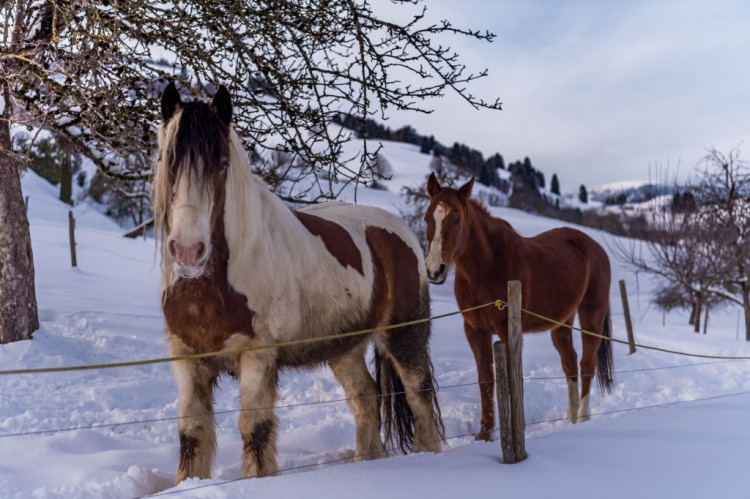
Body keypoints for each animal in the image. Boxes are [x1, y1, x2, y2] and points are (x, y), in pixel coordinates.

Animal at [154, 83, 446, 484]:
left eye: (223, 164)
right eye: (168, 159)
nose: (187, 250)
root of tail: (402, 233)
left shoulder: (257, 356)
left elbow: (255, 430)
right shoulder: (186, 357)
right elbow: (191, 432)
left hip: (404, 335)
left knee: (419, 393)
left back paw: (425, 458)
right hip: (344, 348)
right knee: (365, 396)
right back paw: (367, 460)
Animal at [426, 175, 612, 442]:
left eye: (457, 219)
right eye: (427, 218)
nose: (435, 270)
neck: (486, 267)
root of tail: (595, 247)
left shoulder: (507, 330)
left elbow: (514, 380)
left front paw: (516, 428)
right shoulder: (475, 330)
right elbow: (486, 381)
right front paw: (485, 435)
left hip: (591, 315)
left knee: (587, 364)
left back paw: (584, 418)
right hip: (561, 322)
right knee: (570, 362)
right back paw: (571, 417)